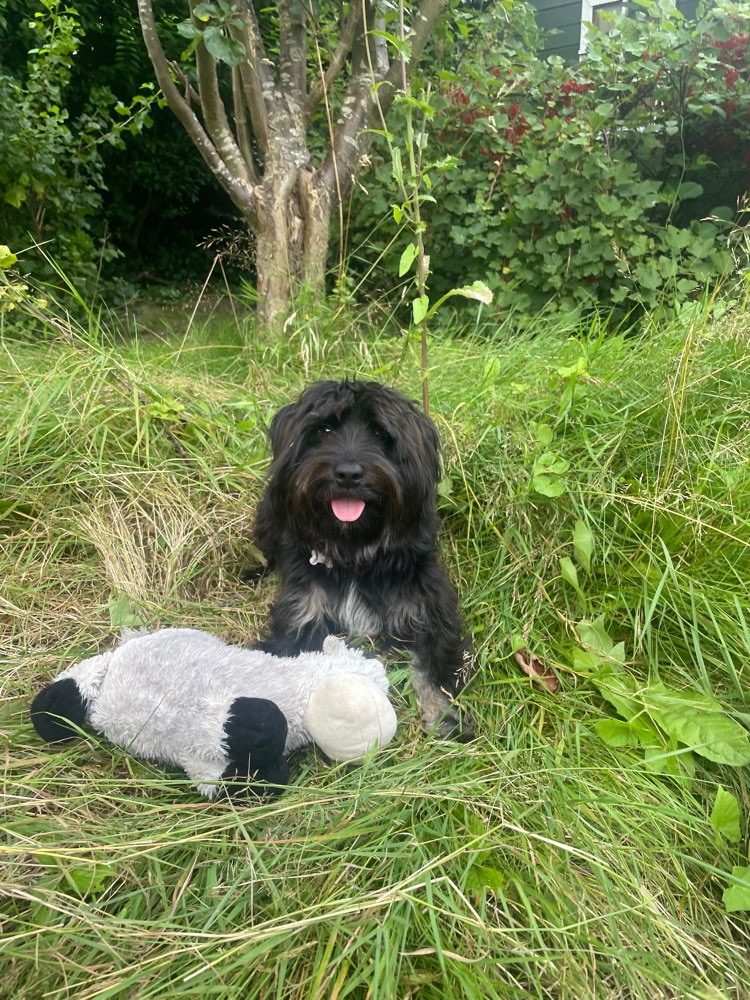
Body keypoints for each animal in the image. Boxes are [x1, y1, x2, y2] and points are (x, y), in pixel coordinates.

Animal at [256, 378, 472, 740]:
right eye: (324, 429)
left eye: (380, 433)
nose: (348, 474)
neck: (355, 554)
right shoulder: (301, 612)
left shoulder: (428, 608)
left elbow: (435, 665)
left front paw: (444, 715)